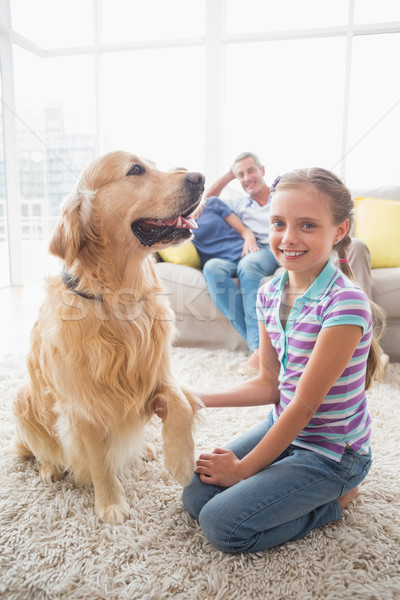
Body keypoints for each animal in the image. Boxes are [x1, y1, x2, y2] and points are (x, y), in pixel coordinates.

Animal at [13, 151, 205, 524]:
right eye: (136, 170)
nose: (200, 178)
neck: (121, 297)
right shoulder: (83, 407)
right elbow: (99, 461)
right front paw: (111, 504)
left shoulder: (156, 373)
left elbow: (180, 402)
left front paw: (181, 461)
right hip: (23, 399)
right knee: (40, 447)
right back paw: (49, 468)